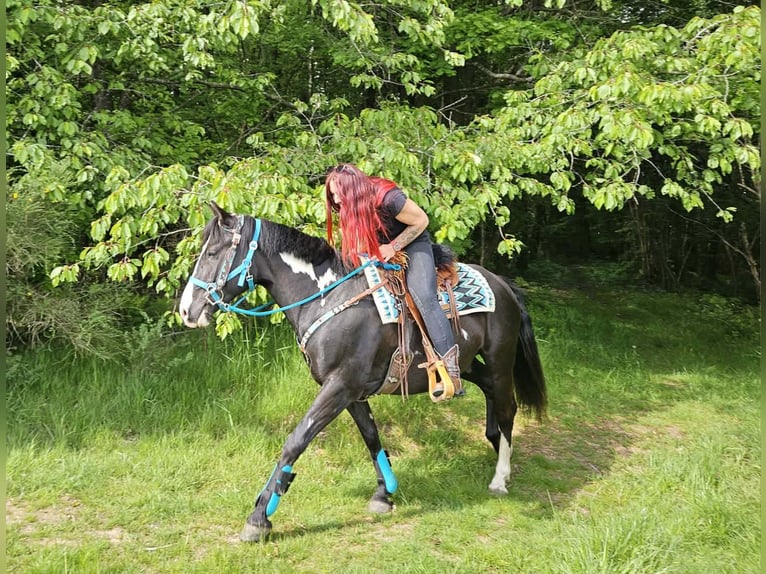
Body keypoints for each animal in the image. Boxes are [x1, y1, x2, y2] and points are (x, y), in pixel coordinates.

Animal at [179, 202, 547, 542]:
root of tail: (502, 284)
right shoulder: (351, 391)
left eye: (212, 252)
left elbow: (296, 440)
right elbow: (371, 437)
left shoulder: (339, 386)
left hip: (500, 359)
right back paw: (495, 446)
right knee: (489, 393)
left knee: (508, 407)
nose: (185, 310)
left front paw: (259, 518)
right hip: (469, 365)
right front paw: (384, 495)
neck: (329, 298)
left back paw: (500, 477)